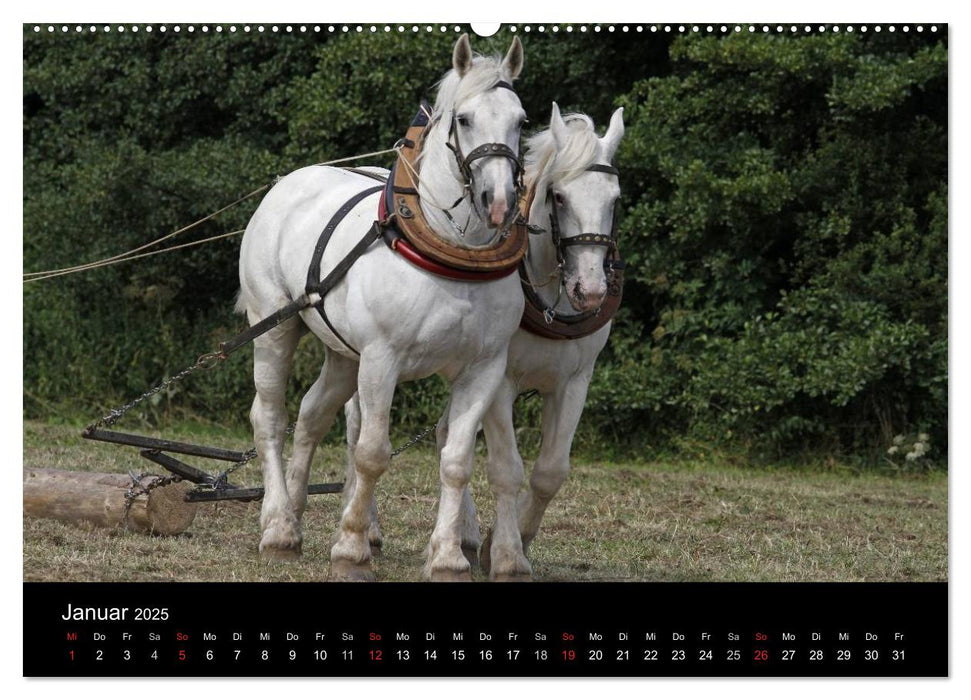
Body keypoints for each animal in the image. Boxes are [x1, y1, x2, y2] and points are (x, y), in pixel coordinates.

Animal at [238, 34, 528, 580]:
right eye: (464, 119)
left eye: (521, 121)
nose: (498, 202)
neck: (453, 252)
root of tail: (289, 181)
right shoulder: (381, 358)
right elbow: (371, 453)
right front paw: (351, 547)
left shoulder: (485, 367)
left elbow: (456, 459)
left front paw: (448, 556)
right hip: (273, 327)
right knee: (269, 417)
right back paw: (278, 526)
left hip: (341, 354)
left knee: (311, 416)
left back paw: (294, 511)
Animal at [350, 102, 632, 576]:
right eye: (558, 196)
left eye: (614, 199)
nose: (590, 290)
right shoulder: (502, 379)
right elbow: (505, 468)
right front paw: (504, 554)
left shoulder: (575, 381)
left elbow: (550, 471)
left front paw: (509, 539)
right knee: (358, 424)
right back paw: (365, 527)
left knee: (444, 432)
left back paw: (459, 536)